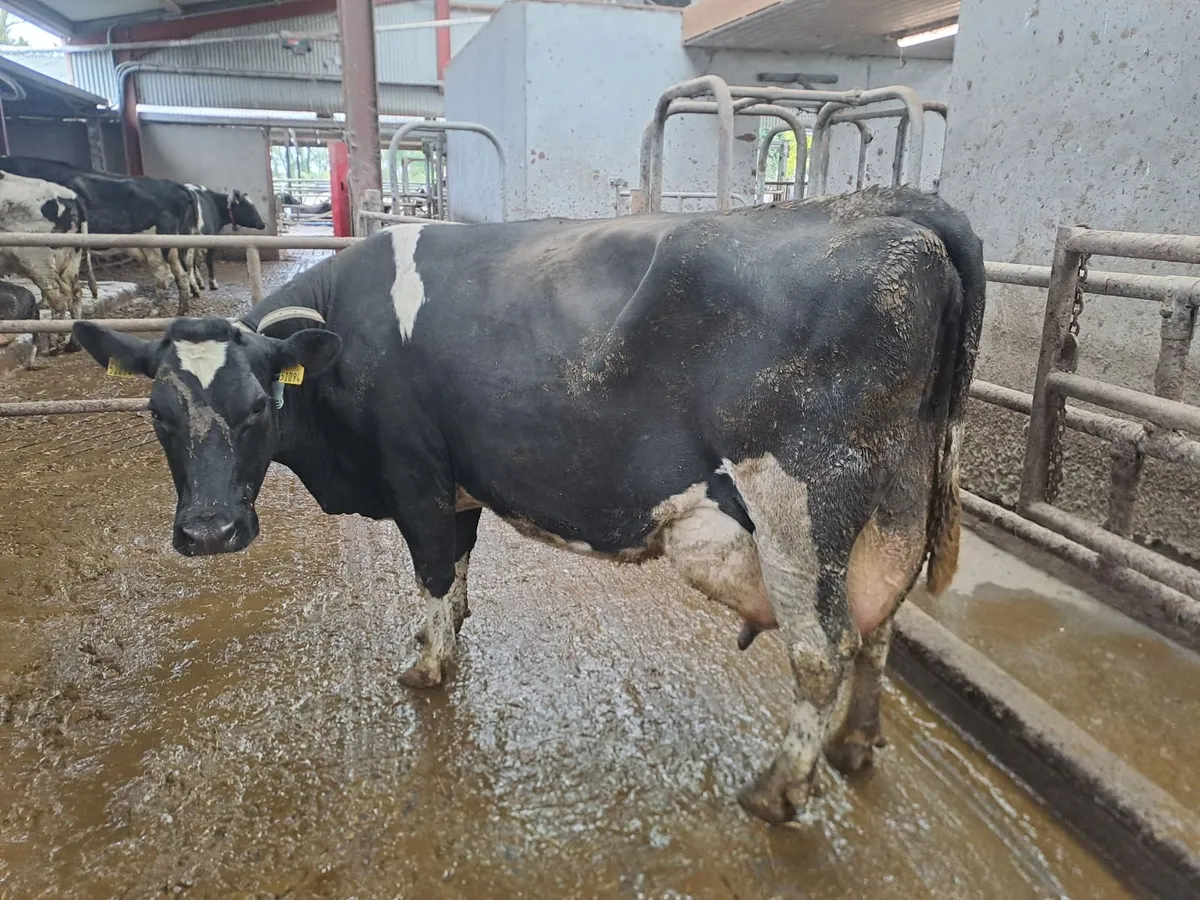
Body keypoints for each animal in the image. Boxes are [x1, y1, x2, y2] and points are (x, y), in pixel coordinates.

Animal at [0, 156, 199, 314]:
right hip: (171, 246)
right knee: (181, 273)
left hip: (156, 246)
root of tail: (176, 186)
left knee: (165, 275)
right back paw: (182, 309)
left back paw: (155, 310)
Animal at [0, 171, 97, 343]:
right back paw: (72, 343)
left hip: (37, 262)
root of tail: (73, 196)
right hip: (70, 260)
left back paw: (55, 340)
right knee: (75, 293)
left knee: (58, 294)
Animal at [71, 185, 985, 827]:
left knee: (823, 647)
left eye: (260, 407)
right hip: (890, 504)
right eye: (158, 414)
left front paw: (428, 666)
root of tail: (888, 208)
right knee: (878, 625)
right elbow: (459, 565)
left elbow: (432, 569)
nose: (210, 532)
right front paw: (448, 635)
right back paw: (854, 744)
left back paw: (778, 790)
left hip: (804, 500)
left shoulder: (414, 471)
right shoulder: (457, 474)